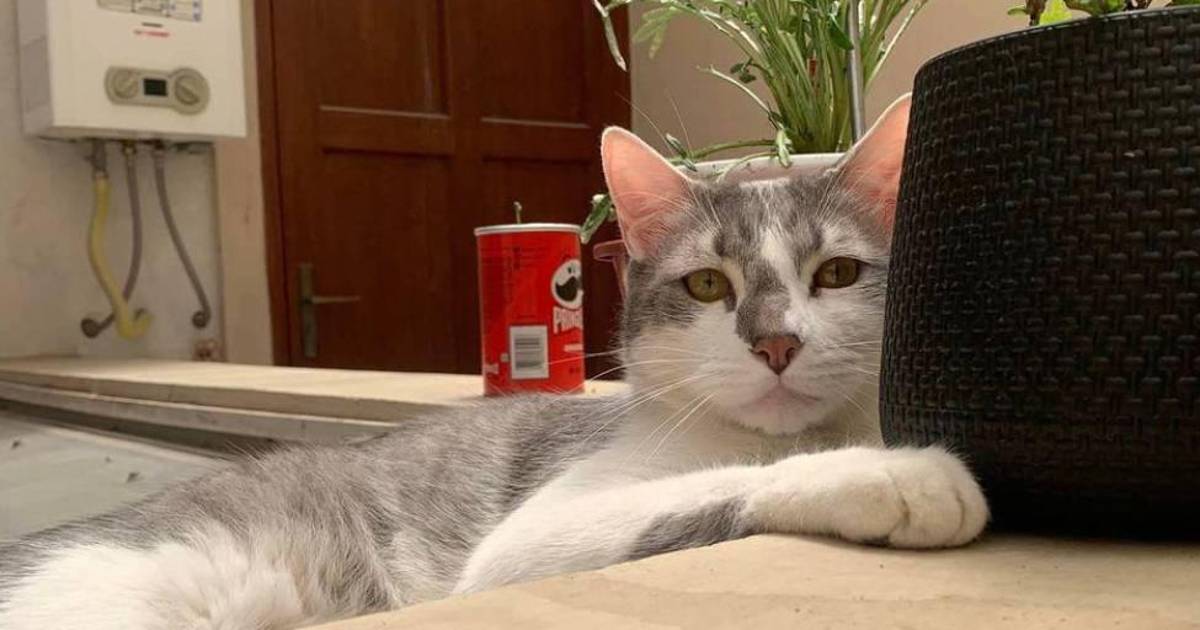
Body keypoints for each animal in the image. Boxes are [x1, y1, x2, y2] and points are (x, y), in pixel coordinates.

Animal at [0, 95, 988, 630]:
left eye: (837, 275)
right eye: (708, 285)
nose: (776, 342)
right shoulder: (534, 535)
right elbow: (711, 488)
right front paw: (897, 473)